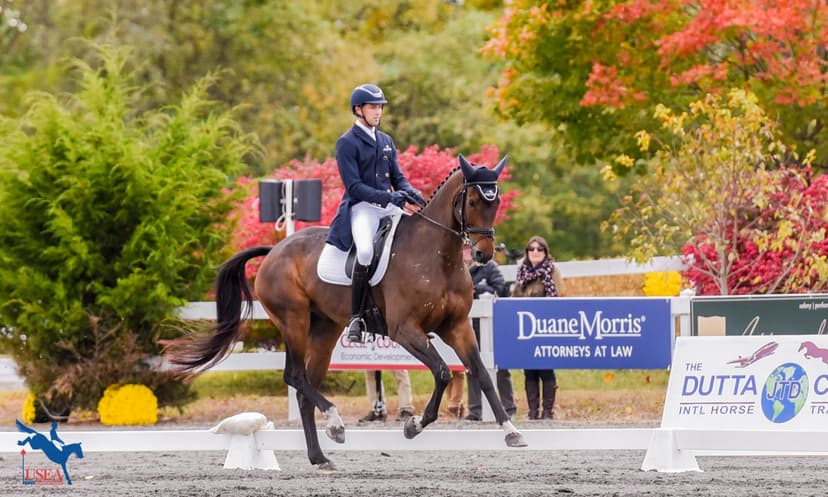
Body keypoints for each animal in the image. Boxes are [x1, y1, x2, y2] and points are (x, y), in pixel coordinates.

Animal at [165, 154, 527, 470]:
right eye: (474, 202)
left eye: (496, 202)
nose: (483, 254)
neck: (438, 258)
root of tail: (275, 250)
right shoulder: (405, 330)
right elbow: (441, 372)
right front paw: (414, 425)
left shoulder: (458, 326)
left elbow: (480, 373)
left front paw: (512, 432)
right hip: (294, 320)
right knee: (295, 377)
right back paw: (335, 422)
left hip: (324, 329)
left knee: (304, 389)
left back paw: (320, 456)